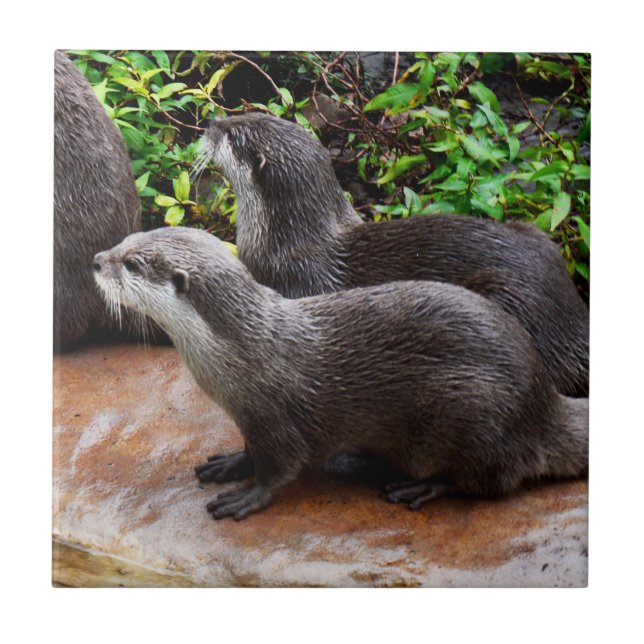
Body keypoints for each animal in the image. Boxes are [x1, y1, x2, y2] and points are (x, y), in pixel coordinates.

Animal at [92, 227, 588, 521]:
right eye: (126, 239)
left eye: (133, 264)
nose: (96, 259)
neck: (244, 352)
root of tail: (543, 403)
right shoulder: (250, 417)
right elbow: (250, 450)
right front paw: (231, 463)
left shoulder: (276, 417)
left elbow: (280, 467)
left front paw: (248, 496)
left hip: (472, 413)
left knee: (489, 481)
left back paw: (421, 487)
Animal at [197, 113, 589, 397]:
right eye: (246, 112)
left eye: (233, 134)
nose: (211, 122)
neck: (285, 242)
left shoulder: (299, 285)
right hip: (536, 234)